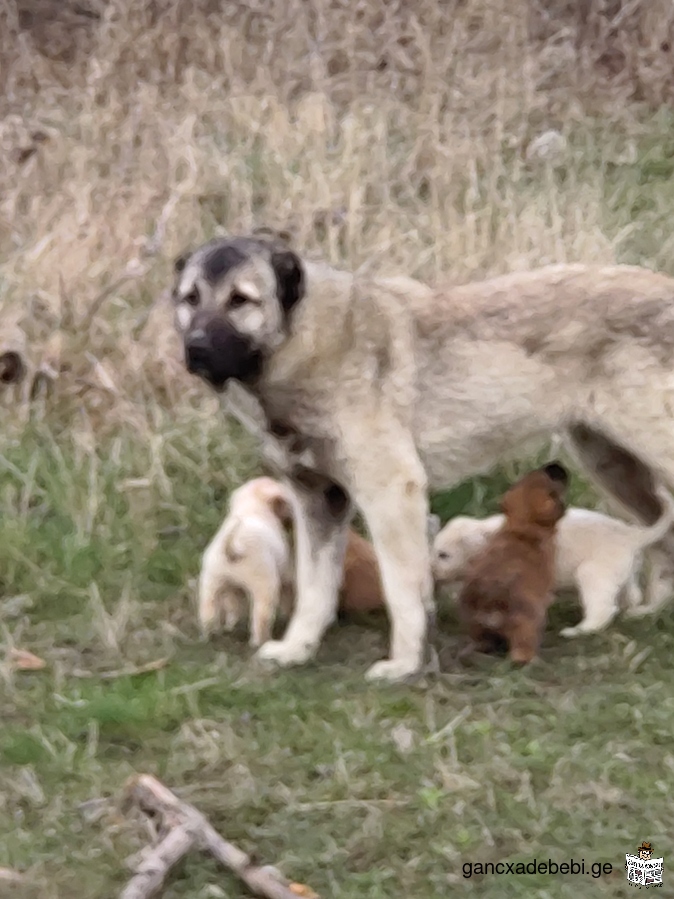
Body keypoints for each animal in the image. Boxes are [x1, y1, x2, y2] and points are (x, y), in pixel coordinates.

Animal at [198, 478, 296, 648]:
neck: (251, 506)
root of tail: (231, 548)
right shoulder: (284, 572)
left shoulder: (233, 588)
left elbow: (233, 606)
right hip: (264, 584)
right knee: (261, 617)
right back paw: (261, 641)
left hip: (213, 583)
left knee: (210, 612)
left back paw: (212, 634)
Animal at [430, 486, 672, 640]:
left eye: (443, 555)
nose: (431, 573)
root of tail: (631, 534)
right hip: (621, 568)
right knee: (631, 595)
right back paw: (632, 612)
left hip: (594, 570)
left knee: (602, 607)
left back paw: (578, 631)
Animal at [456, 468, 568, 664]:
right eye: (551, 493)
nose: (554, 468)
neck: (521, 530)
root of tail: (490, 607)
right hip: (527, 622)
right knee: (521, 648)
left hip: (475, 625)